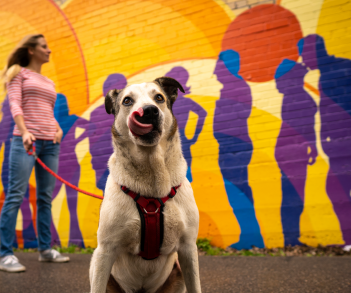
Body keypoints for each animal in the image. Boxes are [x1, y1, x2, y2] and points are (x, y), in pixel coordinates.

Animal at [89, 76, 202, 290]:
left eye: (159, 97)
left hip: (178, 271)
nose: (149, 111)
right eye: (127, 101)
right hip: (95, 265)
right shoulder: (105, 251)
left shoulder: (188, 248)